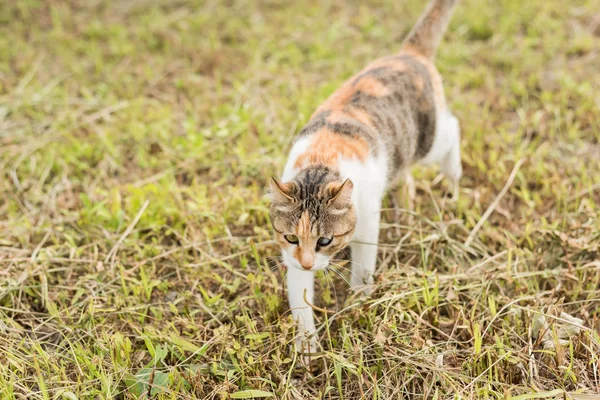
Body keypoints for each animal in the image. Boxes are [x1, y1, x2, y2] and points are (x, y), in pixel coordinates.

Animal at [270, 0, 462, 356]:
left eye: (325, 241)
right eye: (291, 238)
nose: (308, 263)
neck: (320, 163)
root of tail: (408, 54)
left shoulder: (369, 220)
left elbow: (363, 265)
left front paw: (358, 299)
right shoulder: (291, 257)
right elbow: (300, 300)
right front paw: (307, 346)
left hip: (430, 140)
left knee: (453, 128)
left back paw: (452, 175)